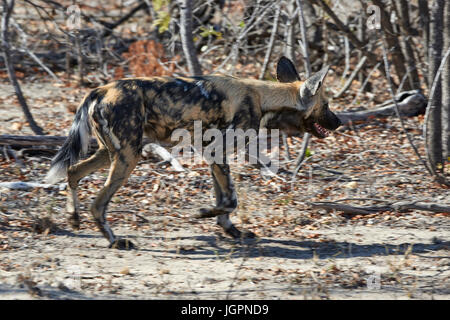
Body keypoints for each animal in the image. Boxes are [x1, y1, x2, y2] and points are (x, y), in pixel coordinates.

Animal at [46, 56, 342, 249]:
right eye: (327, 105)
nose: (339, 122)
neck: (264, 98)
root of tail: (101, 89)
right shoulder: (217, 152)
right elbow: (231, 200)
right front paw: (202, 214)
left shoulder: (213, 156)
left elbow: (225, 199)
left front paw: (231, 230)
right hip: (128, 158)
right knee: (98, 204)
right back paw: (115, 240)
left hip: (111, 153)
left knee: (73, 171)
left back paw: (74, 218)